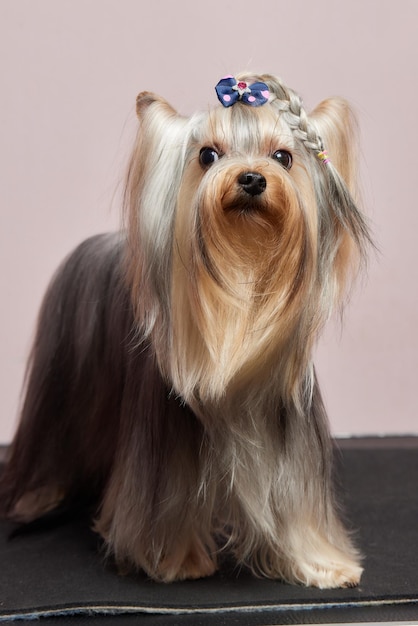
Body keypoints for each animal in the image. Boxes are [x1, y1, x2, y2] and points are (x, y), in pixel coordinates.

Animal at [0, 73, 372, 584]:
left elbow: (296, 510)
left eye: (284, 157)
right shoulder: (163, 450)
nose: (251, 178)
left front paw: (322, 565)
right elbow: (166, 511)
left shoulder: (289, 444)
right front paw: (177, 562)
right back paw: (39, 497)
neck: (242, 273)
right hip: (59, 396)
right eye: (208, 155)